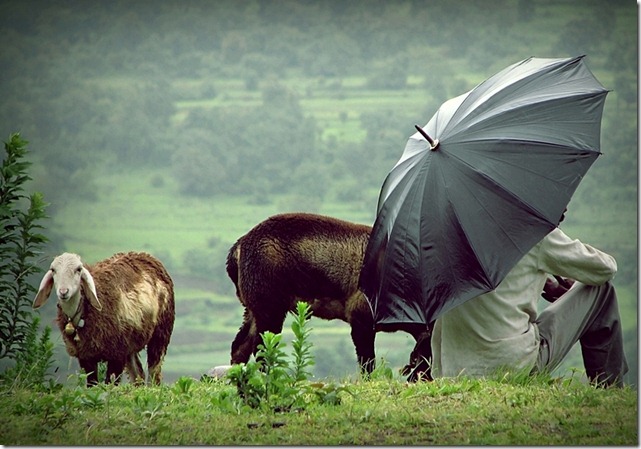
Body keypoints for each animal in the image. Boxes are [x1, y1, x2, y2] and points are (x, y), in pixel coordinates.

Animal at [32, 252, 175, 384]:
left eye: (78, 269)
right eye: (53, 270)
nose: (63, 292)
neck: (83, 311)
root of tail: (145, 256)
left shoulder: (117, 355)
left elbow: (110, 385)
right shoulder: (86, 356)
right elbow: (93, 385)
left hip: (161, 332)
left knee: (154, 372)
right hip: (130, 342)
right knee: (137, 375)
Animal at [228, 212, 432, 376]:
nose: (425, 378)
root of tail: (240, 245)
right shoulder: (361, 318)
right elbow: (367, 362)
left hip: (254, 308)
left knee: (240, 347)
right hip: (269, 308)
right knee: (262, 350)